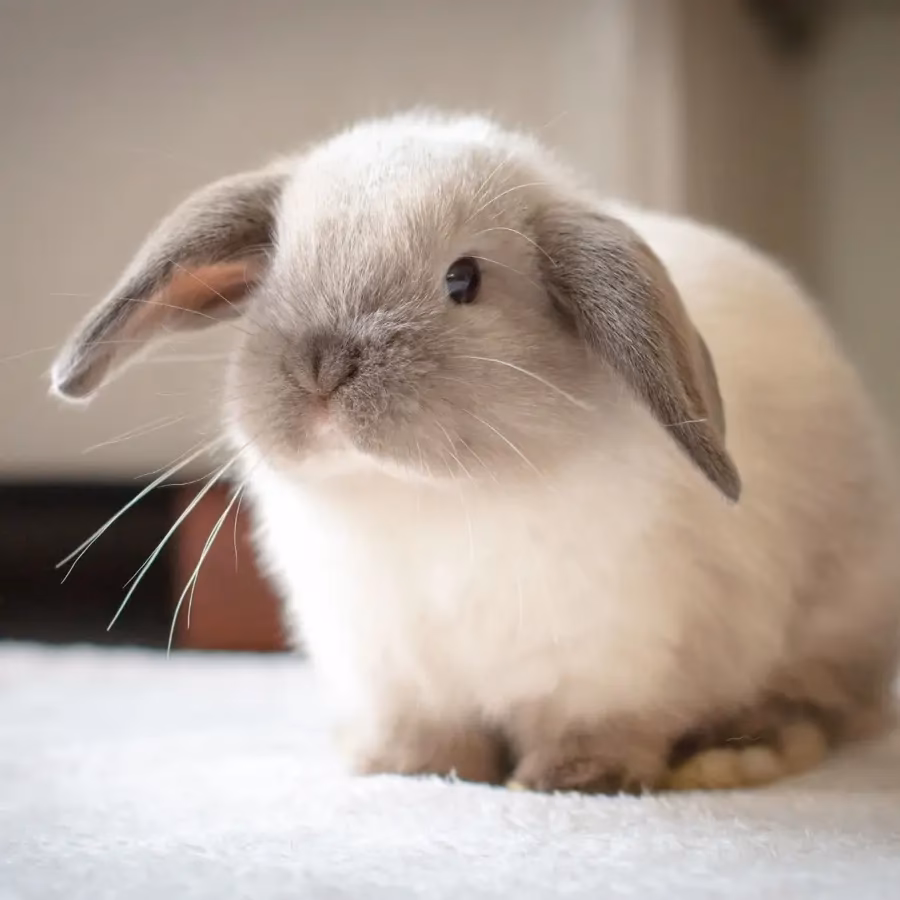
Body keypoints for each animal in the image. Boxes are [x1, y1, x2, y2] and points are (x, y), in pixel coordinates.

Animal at [51, 110, 900, 793]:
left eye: (464, 280)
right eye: (275, 274)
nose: (321, 365)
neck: (422, 497)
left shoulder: (609, 668)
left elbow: (597, 731)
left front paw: (567, 783)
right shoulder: (396, 676)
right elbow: (430, 739)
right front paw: (414, 773)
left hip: (832, 626)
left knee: (821, 703)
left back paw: (737, 755)